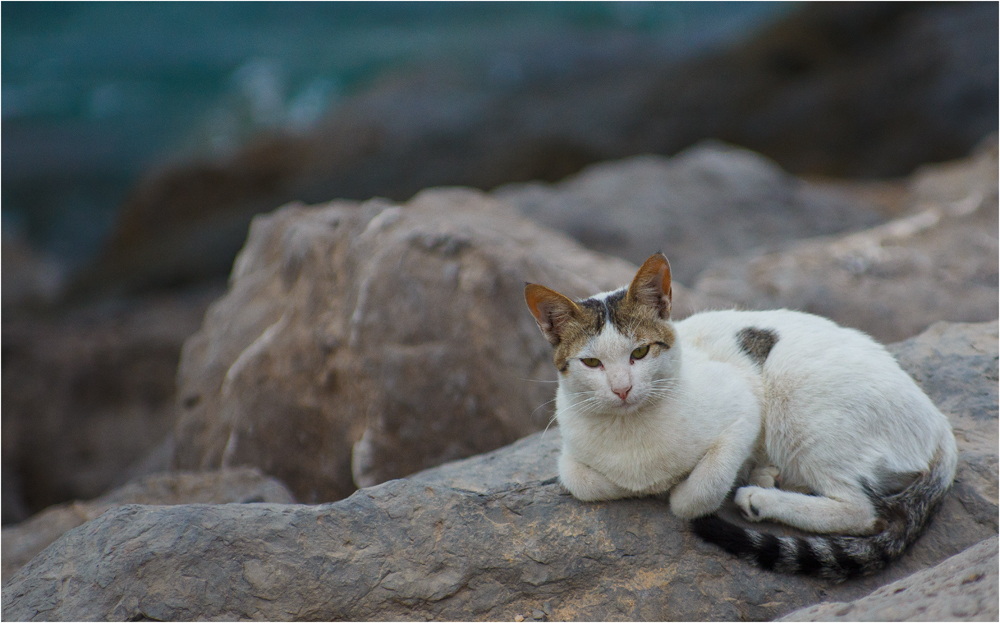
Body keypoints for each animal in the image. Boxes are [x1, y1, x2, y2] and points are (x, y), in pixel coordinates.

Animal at [524, 250, 952, 580]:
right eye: (591, 363)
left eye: (640, 352)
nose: (622, 388)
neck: (632, 431)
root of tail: (940, 425)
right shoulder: (569, 450)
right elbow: (582, 481)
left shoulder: (745, 406)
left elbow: (698, 491)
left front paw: (682, 491)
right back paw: (768, 477)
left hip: (798, 401)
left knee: (863, 511)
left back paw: (758, 497)